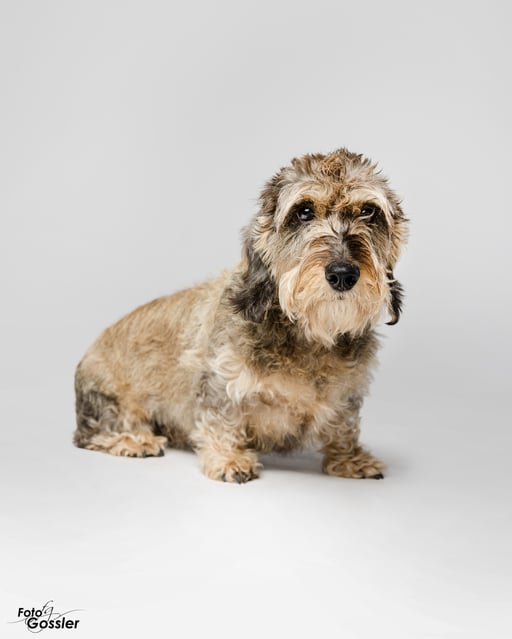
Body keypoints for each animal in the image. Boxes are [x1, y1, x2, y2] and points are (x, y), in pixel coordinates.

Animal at [74, 148, 408, 482]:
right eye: (303, 211)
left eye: (369, 211)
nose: (342, 274)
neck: (308, 336)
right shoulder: (220, 382)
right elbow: (222, 420)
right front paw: (228, 459)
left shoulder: (347, 396)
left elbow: (343, 427)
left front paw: (350, 458)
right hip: (107, 405)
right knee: (89, 435)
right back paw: (135, 440)